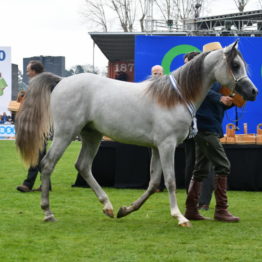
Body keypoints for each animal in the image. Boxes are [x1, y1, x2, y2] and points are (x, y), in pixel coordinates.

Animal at [15, 40, 256, 225]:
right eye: (235, 65)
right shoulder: (167, 146)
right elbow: (170, 181)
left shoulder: (157, 148)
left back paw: (108, 207)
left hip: (91, 135)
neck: (175, 97)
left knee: (82, 166)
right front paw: (180, 217)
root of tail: (61, 81)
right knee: (47, 164)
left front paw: (126, 210)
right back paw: (48, 213)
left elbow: (154, 183)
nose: (252, 91)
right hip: (66, 133)